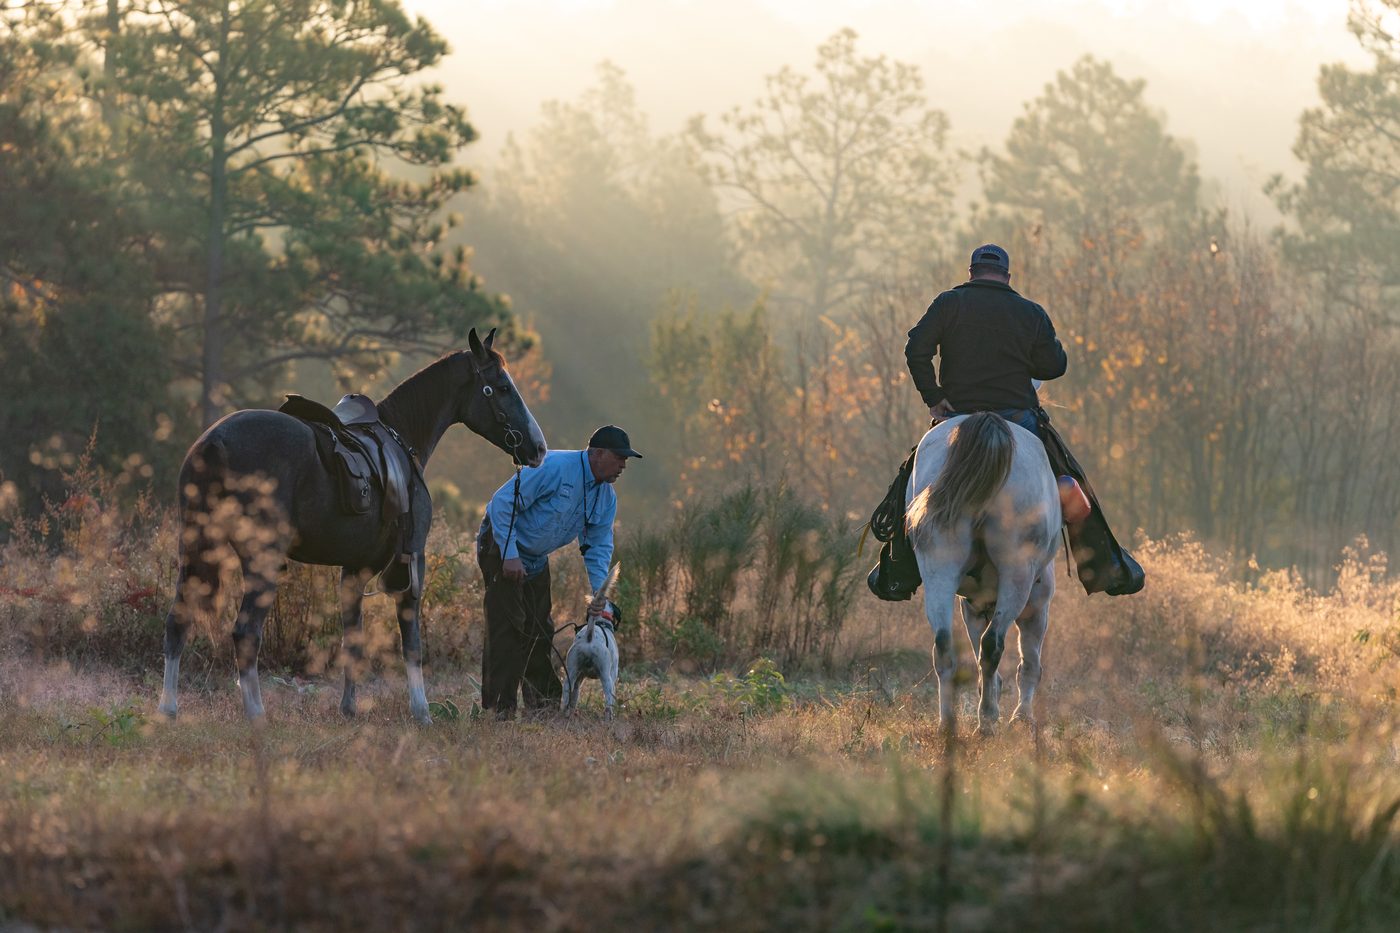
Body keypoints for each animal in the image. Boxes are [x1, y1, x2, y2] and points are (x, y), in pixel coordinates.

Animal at [157, 327, 546, 725]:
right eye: (502, 387)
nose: (538, 448)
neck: (402, 438)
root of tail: (215, 441)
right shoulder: (413, 561)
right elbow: (412, 644)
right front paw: (421, 711)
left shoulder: (355, 569)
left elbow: (352, 642)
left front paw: (349, 708)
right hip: (260, 561)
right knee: (245, 633)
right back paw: (256, 715)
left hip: (195, 551)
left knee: (177, 623)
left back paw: (168, 708)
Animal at [906, 412, 1061, 736]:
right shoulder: (1037, 607)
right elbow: (1029, 664)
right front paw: (1021, 716)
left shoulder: (973, 607)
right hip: (1018, 576)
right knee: (993, 646)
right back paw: (987, 720)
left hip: (938, 568)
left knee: (944, 645)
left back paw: (947, 723)